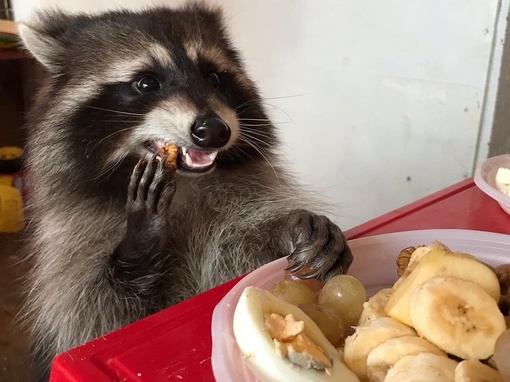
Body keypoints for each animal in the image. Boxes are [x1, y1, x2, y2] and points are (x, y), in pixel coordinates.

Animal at [18, 2, 354, 380]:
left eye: (213, 77)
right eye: (146, 82)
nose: (214, 131)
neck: (181, 181)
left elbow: (243, 247)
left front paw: (289, 226)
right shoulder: (70, 254)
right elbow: (99, 311)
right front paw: (140, 242)